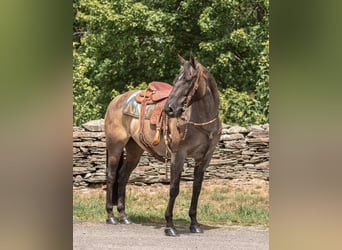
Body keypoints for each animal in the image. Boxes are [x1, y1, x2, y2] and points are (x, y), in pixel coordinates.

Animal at [104, 52, 222, 236]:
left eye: (188, 79)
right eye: (175, 80)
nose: (169, 109)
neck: (202, 123)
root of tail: (115, 100)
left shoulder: (204, 158)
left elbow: (196, 188)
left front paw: (194, 224)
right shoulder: (178, 155)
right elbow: (174, 188)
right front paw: (170, 226)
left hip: (134, 150)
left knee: (123, 176)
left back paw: (123, 216)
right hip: (115, 146)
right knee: (111, 175)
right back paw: (110, 216)